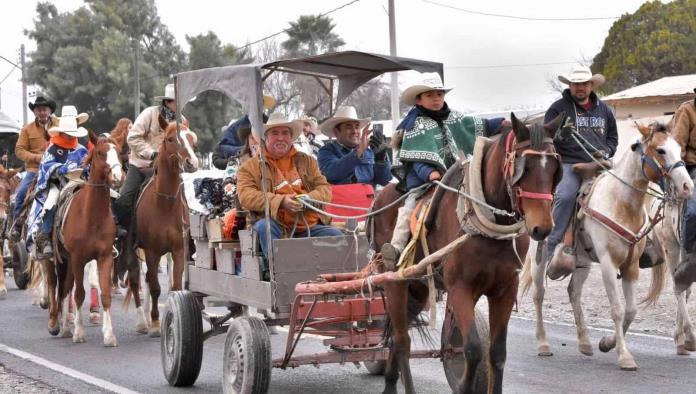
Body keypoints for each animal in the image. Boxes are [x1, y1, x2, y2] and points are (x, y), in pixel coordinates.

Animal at [123, 116, 196, 336]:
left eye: (192, 139)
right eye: (171, 139)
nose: (192, 163)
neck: (164, 203)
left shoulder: (179, 249)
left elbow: (176, 285)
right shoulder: (152, 251)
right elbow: (155, 287)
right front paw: (155, 322)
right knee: (137, 279)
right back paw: (142, 321)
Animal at [372, 112, 564, 394]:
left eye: (553, 169)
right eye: (524, 167)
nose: (543, 227)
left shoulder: (504, 290)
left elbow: (496, 353)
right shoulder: (460, 288)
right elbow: (472, 349)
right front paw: (464, 385)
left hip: (418, 289)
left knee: (398, 338)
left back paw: (389, 381)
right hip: (395, 281)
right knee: (402, 340)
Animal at [520, 122, 692, 370]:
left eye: (679, 149)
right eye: (660, 150)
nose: (687, 186)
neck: (621, 203)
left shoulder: (631, 265)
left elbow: (630, 311)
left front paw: (607, 343)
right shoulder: (609, 264)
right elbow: (618, 310)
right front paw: (625, 356)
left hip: (582, 262)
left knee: (574, 292)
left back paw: (585, 342)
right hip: (539, 256)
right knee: (539, 294)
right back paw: (543, 344)